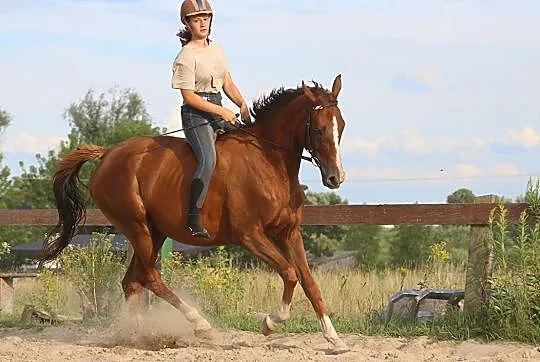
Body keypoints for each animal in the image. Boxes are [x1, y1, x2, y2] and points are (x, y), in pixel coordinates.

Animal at [39, 74, 350, 354]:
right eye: (319, 129)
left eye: (342, 126)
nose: (336, 178)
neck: (269, 162)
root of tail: (107, 154)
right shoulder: (250, 235)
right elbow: (289, 273)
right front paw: (270, 323)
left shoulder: (289, 233)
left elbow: (309, 283)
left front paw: (335, 340)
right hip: (137, 227)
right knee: (150, 277)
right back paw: (199, 324)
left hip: (154, 232)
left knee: (132, 282)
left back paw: (141, 338)